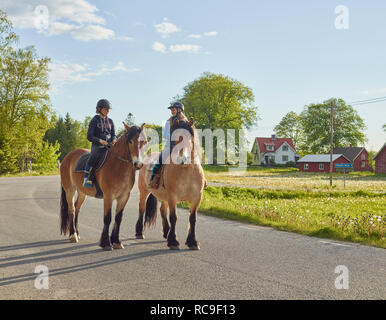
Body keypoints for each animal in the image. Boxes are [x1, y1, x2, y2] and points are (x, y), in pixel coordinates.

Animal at [59, 122, 147, 250]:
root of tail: (68, 156)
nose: (138, 164)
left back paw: (77, 233)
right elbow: (107, 218)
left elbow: (118, 218)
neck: (118, 165)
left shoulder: (124, 197)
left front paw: (116, 241)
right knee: (72, 210)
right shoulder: (108, 196)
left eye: (144, 142)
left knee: (77, 208)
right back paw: (73, 235)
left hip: (82, 192)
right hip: (69, 190)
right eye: (130, 141)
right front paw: (105, 243)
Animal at [136, 117, 208, 250]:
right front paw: (173, 241)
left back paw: (166, 232)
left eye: (189, 139)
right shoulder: (172, 197)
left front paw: (192, 241)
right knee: (142, 209)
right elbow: (174, 217)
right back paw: (139, 232)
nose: (181, 159)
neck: (186, 171)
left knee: (162, 210)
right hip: (144, 192)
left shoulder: (197, 198)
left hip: (164, 197)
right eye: (174, 141)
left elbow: (193, 218)